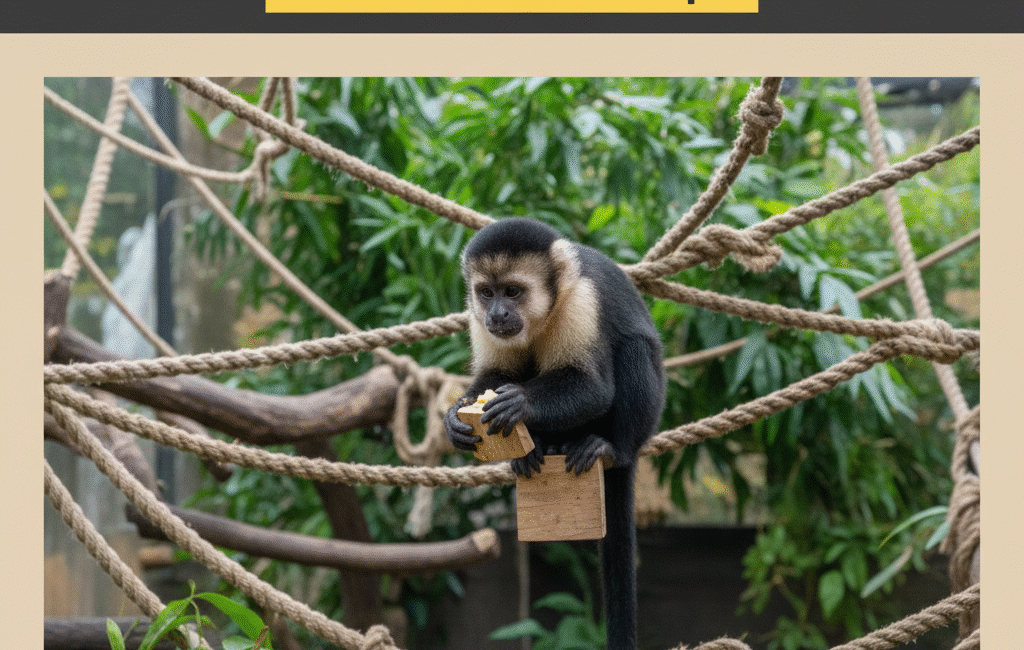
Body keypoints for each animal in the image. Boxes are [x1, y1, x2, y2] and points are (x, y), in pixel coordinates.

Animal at [444, 217, 666, 650]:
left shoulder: (583, 300)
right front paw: (455, 415)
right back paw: (537, 450)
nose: (497, 312)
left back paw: (610, 449)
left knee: (634, 349)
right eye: (486, 292)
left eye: (513, 291)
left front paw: (520, 404)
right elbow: (496, 374)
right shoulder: (475, 316)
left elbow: (593, 387)